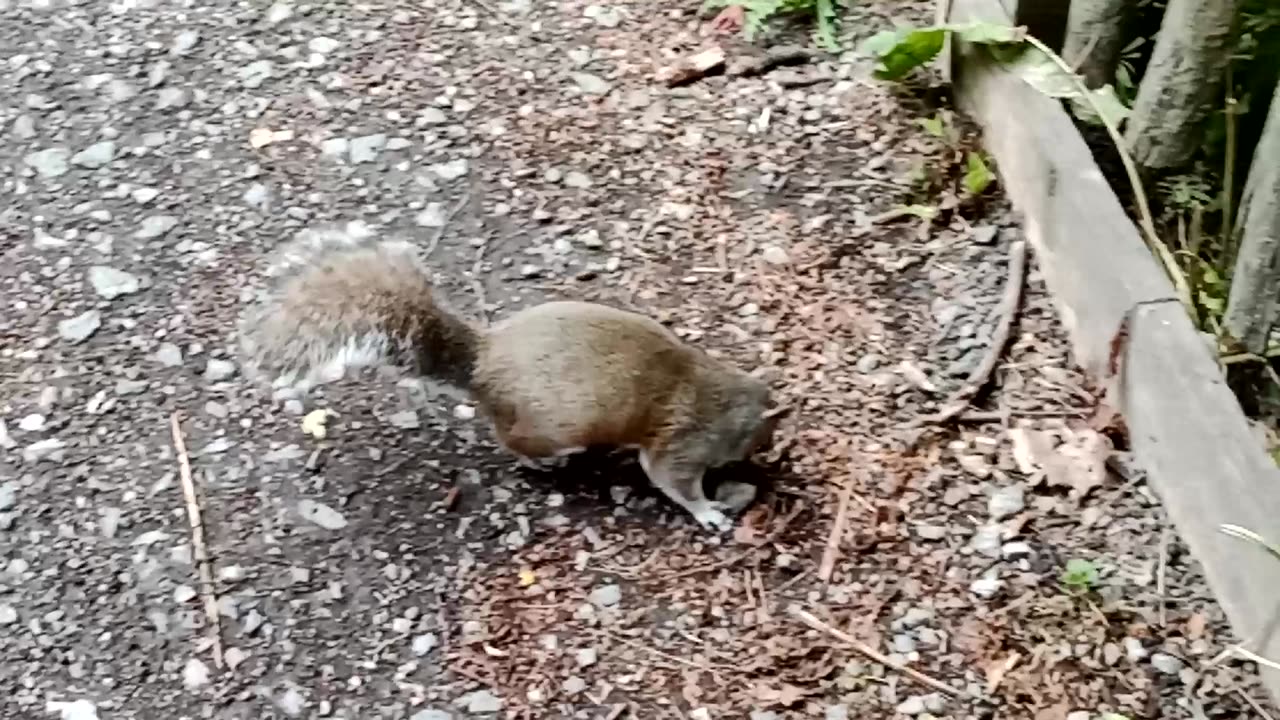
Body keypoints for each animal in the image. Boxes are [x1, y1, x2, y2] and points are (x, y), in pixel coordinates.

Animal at [235, 221, 783, 530]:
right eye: (763, 434)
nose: (771, 457)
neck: (721, 396)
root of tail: (484, 362)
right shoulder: (682, 445)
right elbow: (671, 479)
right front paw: (709, 511)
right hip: (548, 427)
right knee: (513, 443)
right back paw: (547, 461)